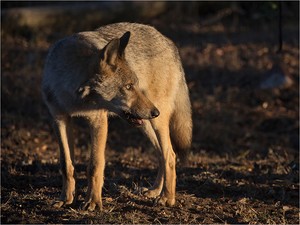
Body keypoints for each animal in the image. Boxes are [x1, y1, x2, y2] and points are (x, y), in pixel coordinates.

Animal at [42, 22, 192, 211]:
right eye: (128, 86)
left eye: (133, 85)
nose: (155, 111)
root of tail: (169, 42)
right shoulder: (60, 120)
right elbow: (66, 164)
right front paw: (66, 199)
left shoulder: (98, 121)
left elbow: (95, 165)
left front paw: (92, 202)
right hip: (144, 124)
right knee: (162, 154)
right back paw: (155, 191)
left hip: (156, 122)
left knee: (170, 155)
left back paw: (167, 198)